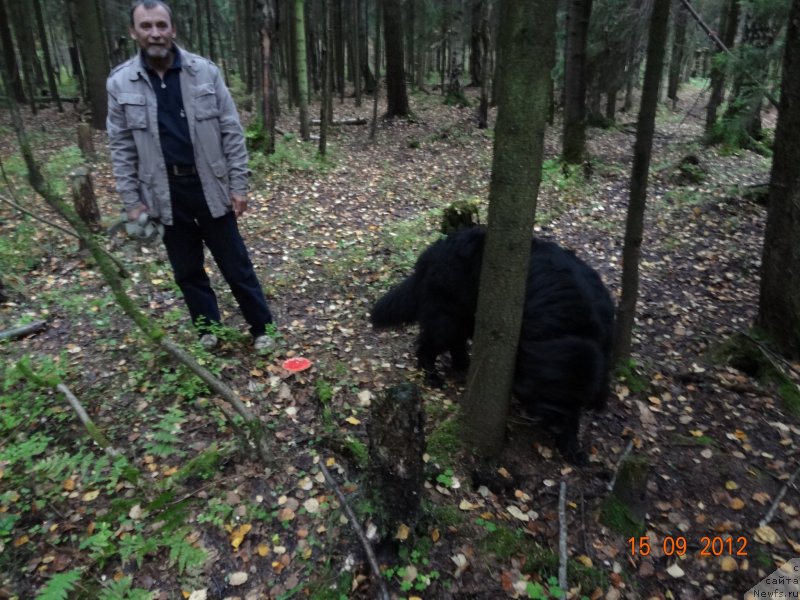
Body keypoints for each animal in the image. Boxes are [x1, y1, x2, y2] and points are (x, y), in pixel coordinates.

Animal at [372, 226, 616, 464]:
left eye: (578, 400)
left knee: (456, 342)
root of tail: (433, 250)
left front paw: (571, 445)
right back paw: (432, 375)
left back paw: (464, 364)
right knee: (430, 344)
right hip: (449, 315)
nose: (554, 427)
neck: (570, 330)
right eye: (554, 392)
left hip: (468, 314)